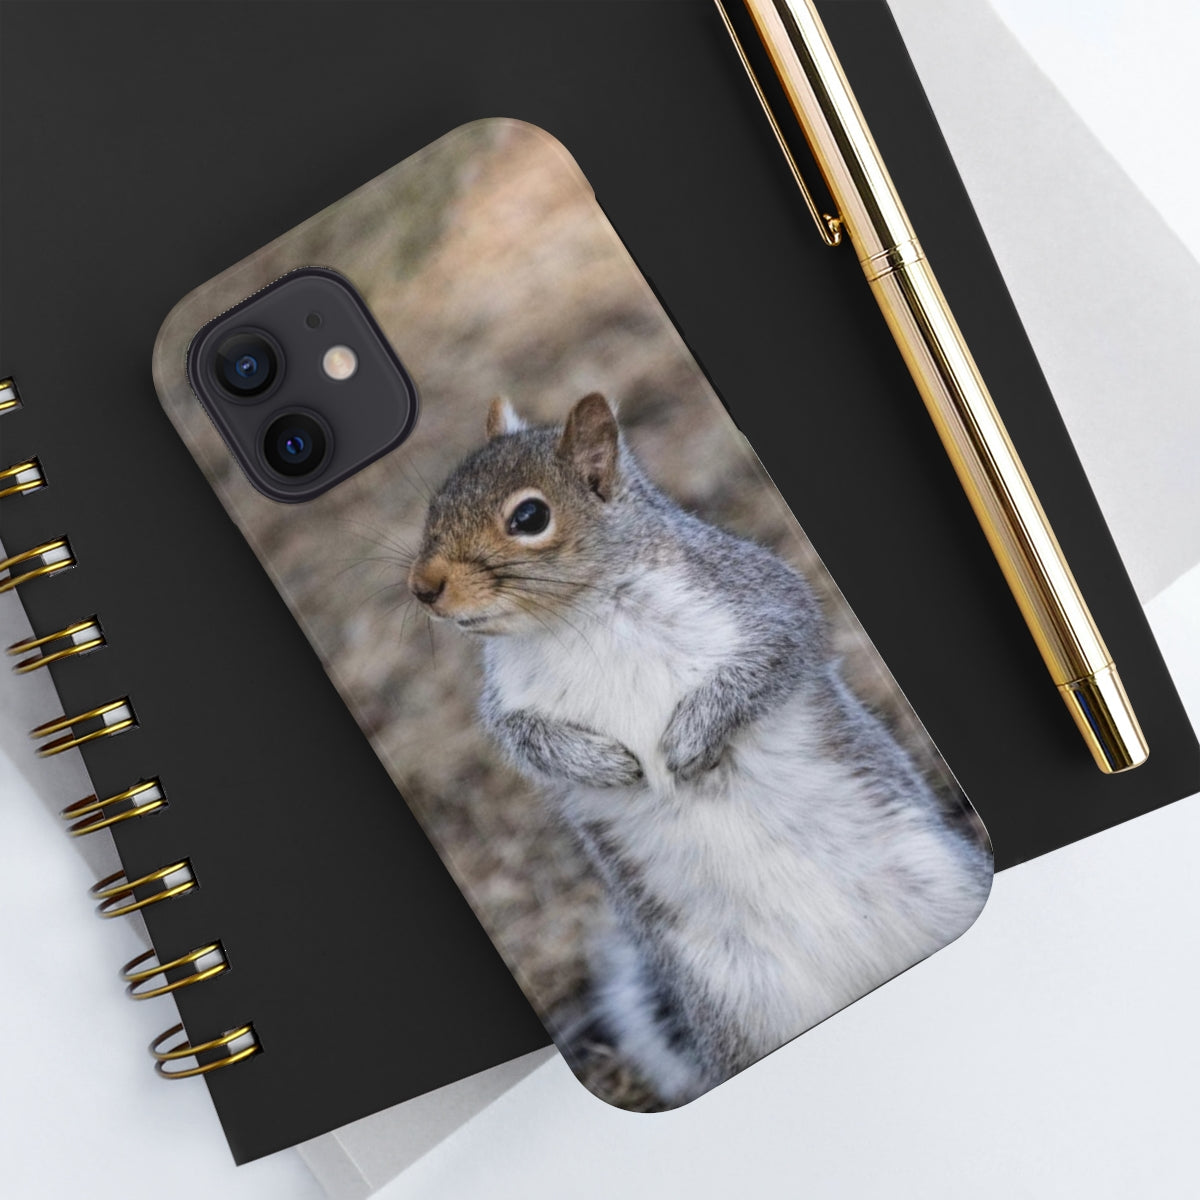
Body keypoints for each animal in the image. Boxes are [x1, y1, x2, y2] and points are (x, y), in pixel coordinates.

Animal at [409, 392, 992, 1104]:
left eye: (529, 517)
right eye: (436, 503)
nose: (422, 587)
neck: (575, 619)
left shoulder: (757, 599)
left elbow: (773, 654)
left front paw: (687, 742)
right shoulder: (508, 704)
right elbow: (528, 742)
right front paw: (605, 764)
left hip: (947, 886)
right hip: (735, 1007)